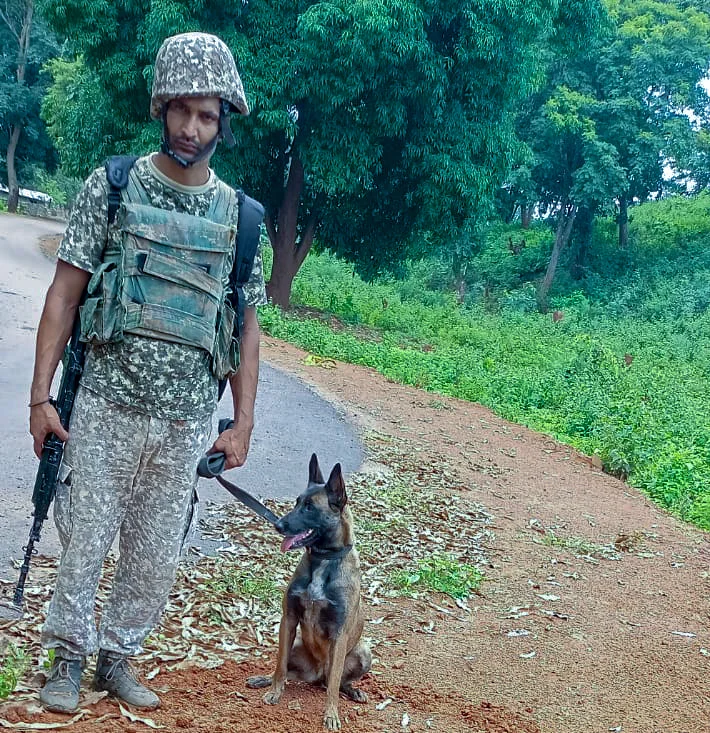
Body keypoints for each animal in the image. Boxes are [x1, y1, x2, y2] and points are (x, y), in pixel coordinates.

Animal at [248, 452, 372, 728]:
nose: (278, 525)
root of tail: (317, 674)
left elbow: (334, 685)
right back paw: (262, 679)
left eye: (309, 507)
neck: (323, 561)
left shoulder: (339, 634)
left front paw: (331, 715)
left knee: (335, 682)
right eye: (296, 502)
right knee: (289, 670)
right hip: (295, 644)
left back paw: (353, 691)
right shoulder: (289, 619)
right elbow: (280, 666)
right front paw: (274, 691)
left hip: (363, 652)